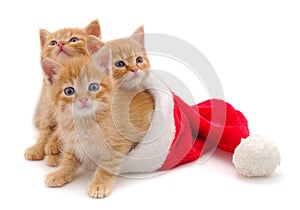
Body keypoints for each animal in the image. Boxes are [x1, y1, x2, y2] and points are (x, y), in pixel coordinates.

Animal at [24, 19, 101, 166]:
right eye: (53, 43)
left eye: (74, 40)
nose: (60, 43)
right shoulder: (48, 106)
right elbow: (45, 129)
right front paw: (38, 148)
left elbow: (61, 130)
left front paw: (52, 147)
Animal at [42, 47, 138, 199]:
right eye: (69, 91)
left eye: (93, 87)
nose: (83, 99)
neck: (85, 121)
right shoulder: (73, 142)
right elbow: (68, 159)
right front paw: (60, 173)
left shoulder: (116, 144)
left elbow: (107, 165)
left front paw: (99, 184)